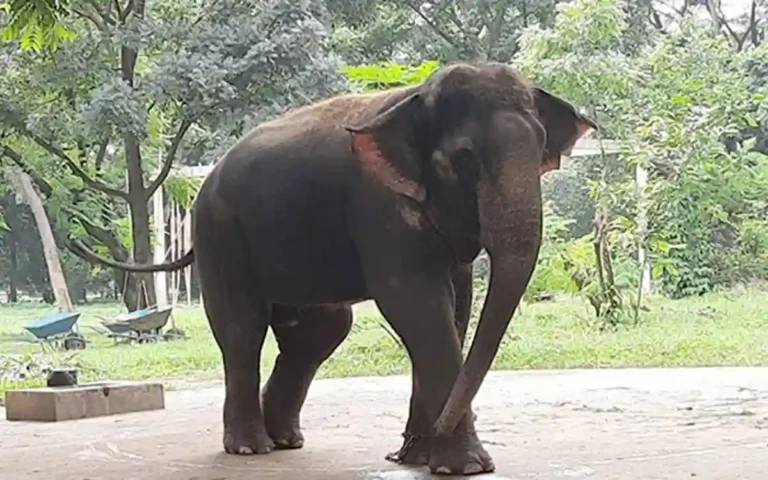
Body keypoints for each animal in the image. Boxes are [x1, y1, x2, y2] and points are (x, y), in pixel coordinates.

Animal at [69, 61, 597, 476]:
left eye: (542, 149)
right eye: (464, 160)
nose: (397, 452)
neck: (412, 99)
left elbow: (456, 308)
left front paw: (425, 458)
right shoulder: (377, 204)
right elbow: (416, 303)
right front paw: (463, 466)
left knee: (320, 332)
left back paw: (286, 441)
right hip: (220, 232)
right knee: (243, 327)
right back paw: (251, 448)